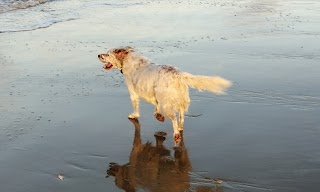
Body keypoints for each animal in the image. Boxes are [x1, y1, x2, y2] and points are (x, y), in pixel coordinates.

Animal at [96, 46, 231, 142]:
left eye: (107, 54)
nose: (98, 55)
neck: (127, 59)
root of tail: (178, 75)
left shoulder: (133, 92)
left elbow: (136, 107)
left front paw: (134, 115)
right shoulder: (156, 96)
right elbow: (156, 108)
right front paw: (158, 115)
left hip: (167, 104)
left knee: (174, 119)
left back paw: (176, 134)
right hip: (179, 101)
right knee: (181, 117)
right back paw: (180, 128)